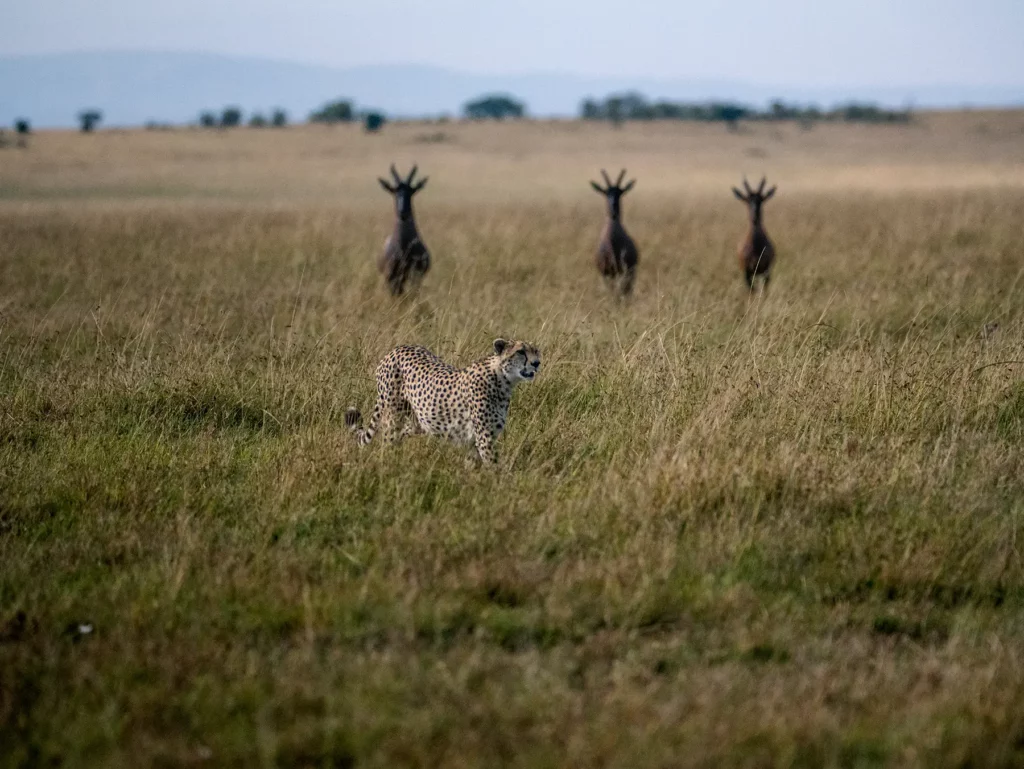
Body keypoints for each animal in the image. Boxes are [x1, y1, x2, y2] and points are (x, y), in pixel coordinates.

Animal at [345, 339, 541, 465]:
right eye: (521, 352)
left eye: (536, 351)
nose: (537, 363)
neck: (503, 379)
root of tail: (396, 349)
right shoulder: (484, 438)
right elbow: (494, 468)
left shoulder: (475, 441)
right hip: (393, 415)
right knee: (388, 441)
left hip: (418, 421)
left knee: (402, 433)